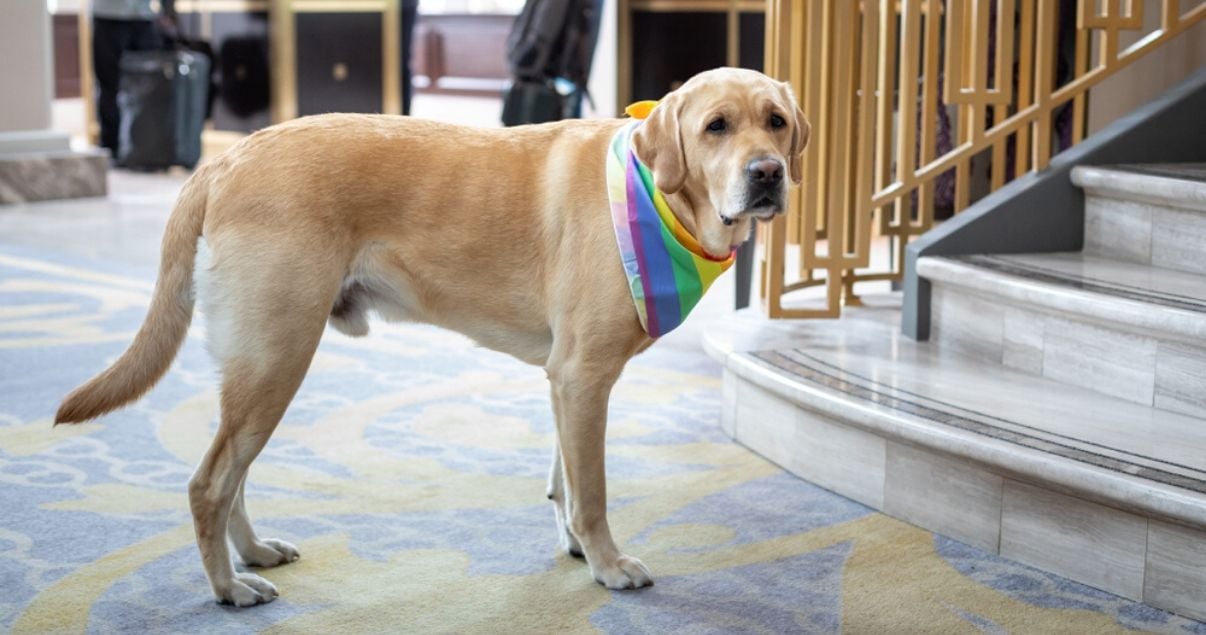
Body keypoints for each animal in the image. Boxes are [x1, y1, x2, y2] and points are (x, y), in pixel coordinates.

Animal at [56, 67, 810, 609]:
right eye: (716, 127)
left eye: (775, 122)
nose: (768, 173)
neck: (660, 197)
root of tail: (229, 157)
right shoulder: (584, 376)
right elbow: (592, 490)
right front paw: (607, 563)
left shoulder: (567, 382)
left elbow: (565, 480)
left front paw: (574, 544)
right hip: (277, 356)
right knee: (209, 482)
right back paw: (226, 587)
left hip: (261, 366)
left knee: (231, 476)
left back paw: (252, 553)